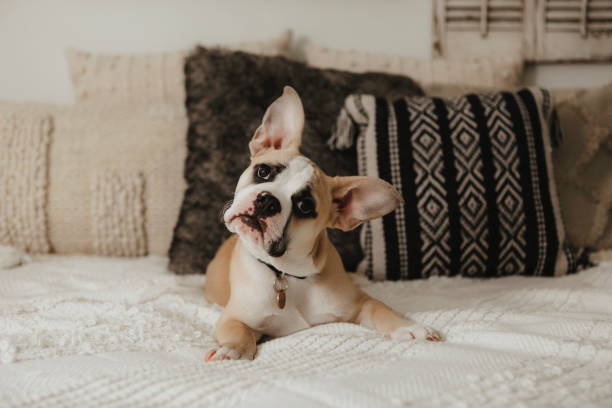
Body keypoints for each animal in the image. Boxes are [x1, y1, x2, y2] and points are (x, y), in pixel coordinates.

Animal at [204, 87, 440, 362]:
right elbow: (239, 332)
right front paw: (232, 350)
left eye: (304, 207)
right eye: (263, 172)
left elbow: (382, 309)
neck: (289, 275)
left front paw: (409, 327)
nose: (268, 201)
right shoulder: (234, 317)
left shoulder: (360, 303)